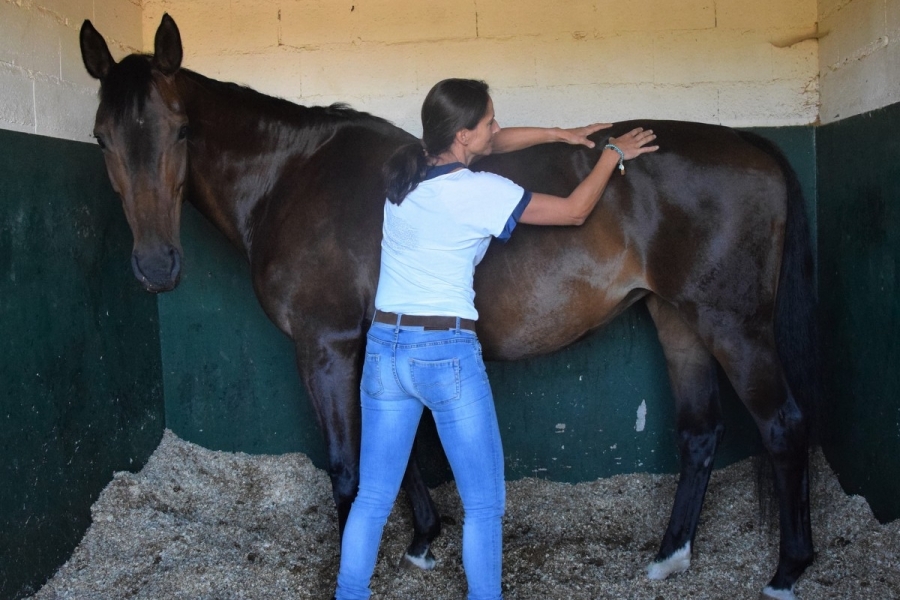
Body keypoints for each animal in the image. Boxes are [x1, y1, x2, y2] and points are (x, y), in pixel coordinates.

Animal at [80, 14, 817, 599]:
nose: (156, 267)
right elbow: (396, 451)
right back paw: (669, 558)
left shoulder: (324, 346)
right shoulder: (371, 342)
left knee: (782, 427)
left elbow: (349, 469)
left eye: (180, 132)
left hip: (733, 326)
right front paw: (423, 538)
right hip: (678, 319)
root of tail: (749, 141)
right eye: (101, 138)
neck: (292, 180)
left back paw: (787, 571)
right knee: (700, 433)